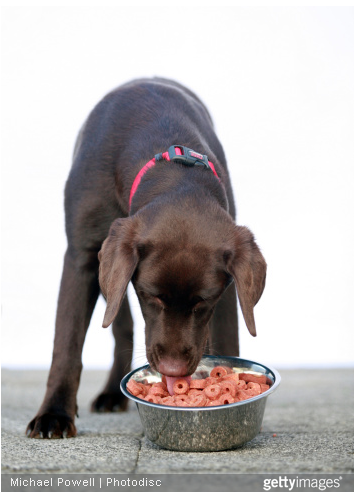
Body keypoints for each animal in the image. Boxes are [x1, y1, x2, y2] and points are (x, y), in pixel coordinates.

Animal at [27, 78, 266, 438]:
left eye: (203, 302)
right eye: (150, 296)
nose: (173, 370)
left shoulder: (229, 286)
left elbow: (228, 338)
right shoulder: (83, 257)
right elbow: (66, 343)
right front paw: (54, 414)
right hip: (108, 267)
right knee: (119, 324)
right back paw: (110, 393)